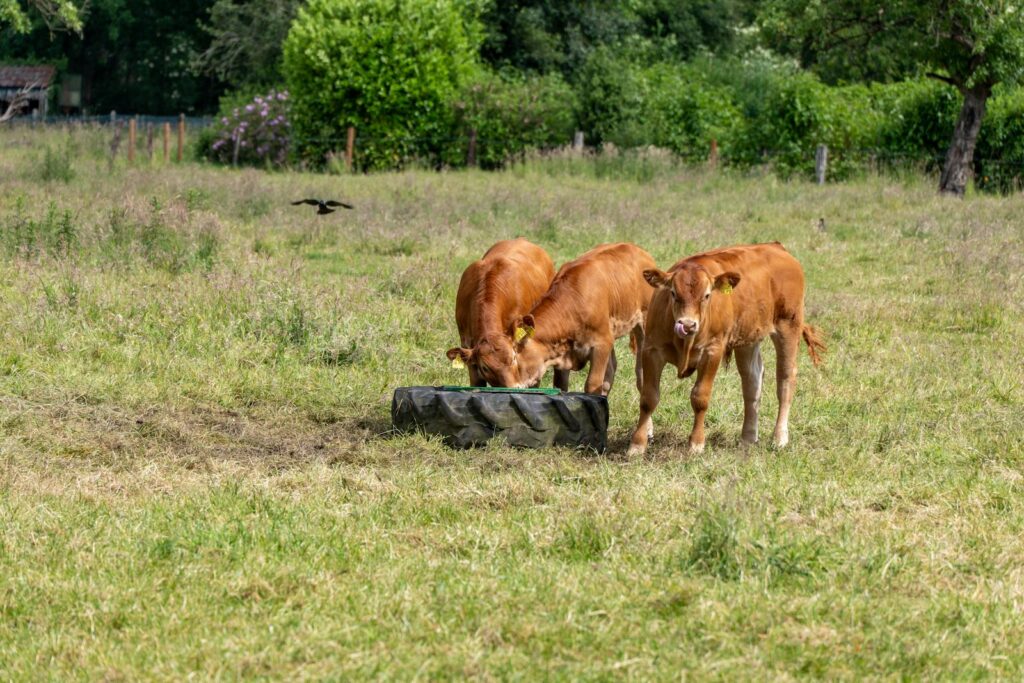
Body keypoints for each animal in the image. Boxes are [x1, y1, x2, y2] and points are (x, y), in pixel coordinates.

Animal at [481, 242, 657, 395]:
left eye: (514, 358)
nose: (509, 387)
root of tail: (639, 251)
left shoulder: (602, 343)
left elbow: (593, 384)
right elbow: (560, 385)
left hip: (644, 323)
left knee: (641, 374)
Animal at [627, 242, 824, 456]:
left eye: (707, 295)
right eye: (673, 293)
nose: (687, 325)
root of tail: (775, 246)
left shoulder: (712, 351)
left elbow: (700, 398)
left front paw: (696, 443)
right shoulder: (651, 350)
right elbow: (648, 397)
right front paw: (637, 445)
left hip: (789, 326)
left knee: (785, 379)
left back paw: (779, 438)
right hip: (748, 338)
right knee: (752, 381)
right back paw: (748, 438)